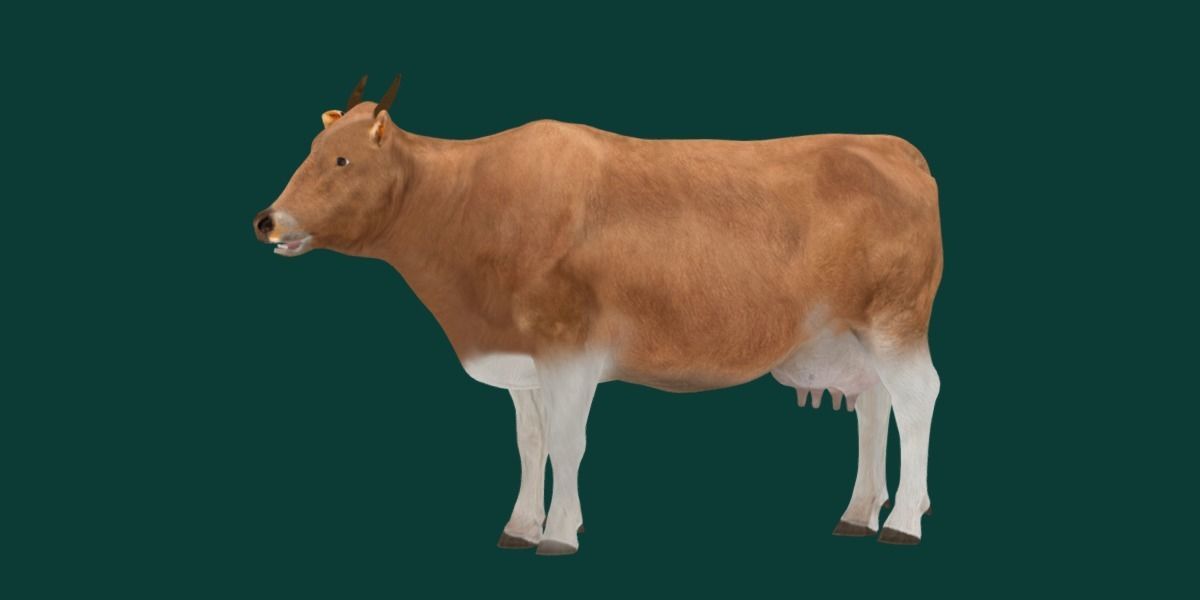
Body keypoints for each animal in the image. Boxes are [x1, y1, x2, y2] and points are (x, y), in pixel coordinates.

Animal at [253, 75, 943, 555]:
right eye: (313, 147)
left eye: (343, 160)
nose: (267, 220)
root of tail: (890, 145)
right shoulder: (522, 358)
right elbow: (530, 443)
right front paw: (522, 525)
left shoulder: (569, 348)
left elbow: (567, 441)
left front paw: (559, 532)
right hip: (854, 335)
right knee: (874, 407)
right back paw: (859, 513)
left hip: (895, 321)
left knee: (916, 400)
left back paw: (904, 520)